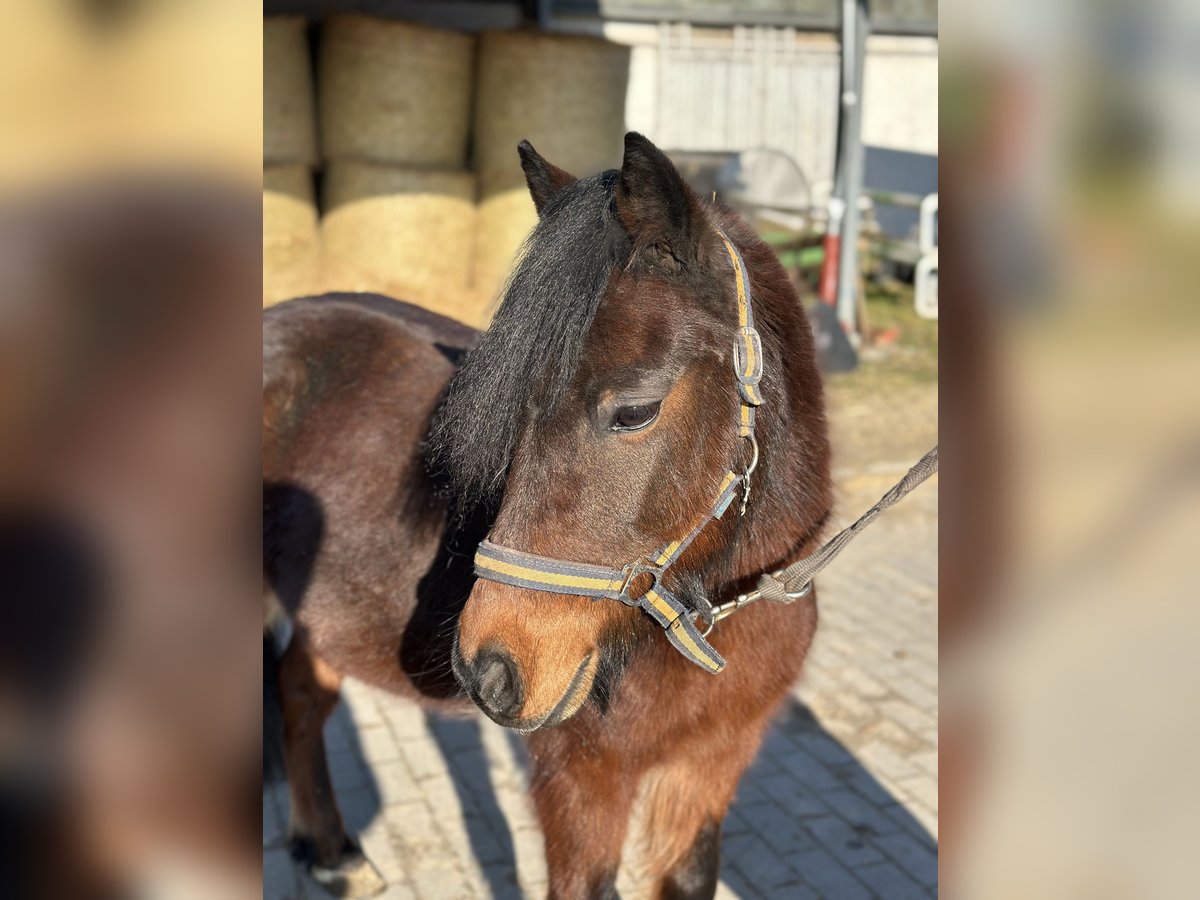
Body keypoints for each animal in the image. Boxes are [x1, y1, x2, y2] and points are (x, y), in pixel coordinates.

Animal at [264, 130, 830, 897]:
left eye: (635, 411)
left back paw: (332, 852)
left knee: (300, 691)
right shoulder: (582, 780)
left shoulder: (709, 767)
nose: (488, 671)